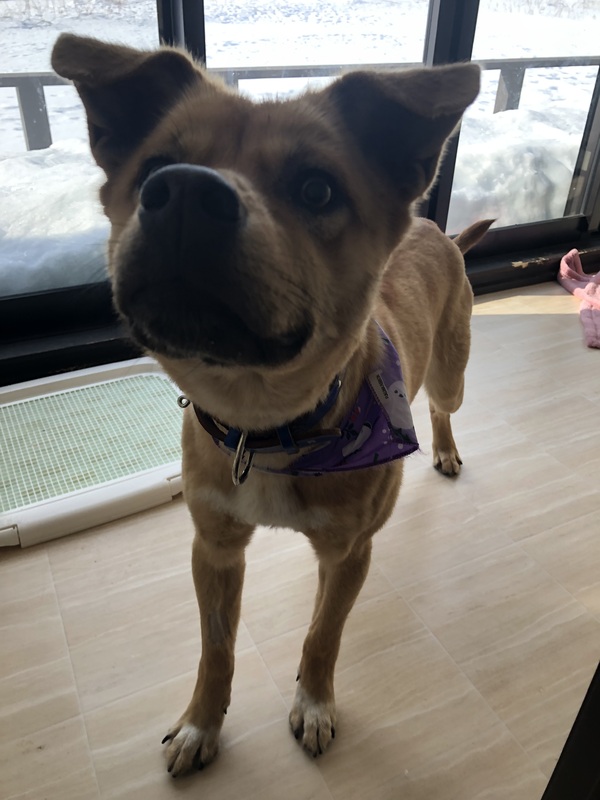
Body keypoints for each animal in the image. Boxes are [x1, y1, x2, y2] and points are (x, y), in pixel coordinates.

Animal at [51, 34, 492, 777]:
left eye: (317, 188)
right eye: (157, 166)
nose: (184, 193)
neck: (266, 423)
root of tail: (438, 229)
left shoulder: (347, 556)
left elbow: (322, 635)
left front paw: (313, 704)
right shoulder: (214, 549)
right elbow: (217, 649)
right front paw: (201, 724)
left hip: (449, 372)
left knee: (444, 406)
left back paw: (444, 447)